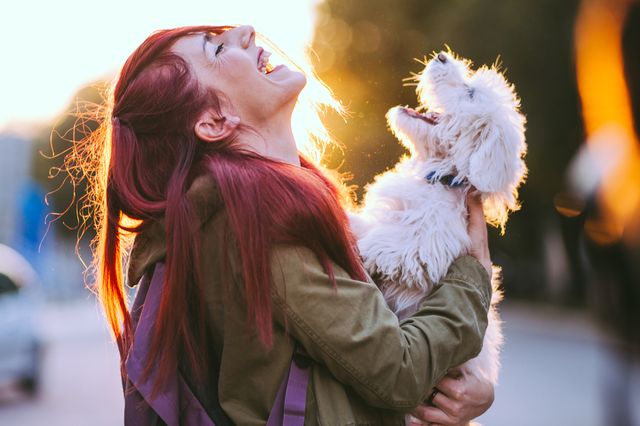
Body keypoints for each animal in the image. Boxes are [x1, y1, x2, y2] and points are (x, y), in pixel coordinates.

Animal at [350, 51, 524, 388]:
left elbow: (391, 245)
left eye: (470, 93)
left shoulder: (426, 248)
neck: (439, 175)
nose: (442, 56)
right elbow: (368, 223)